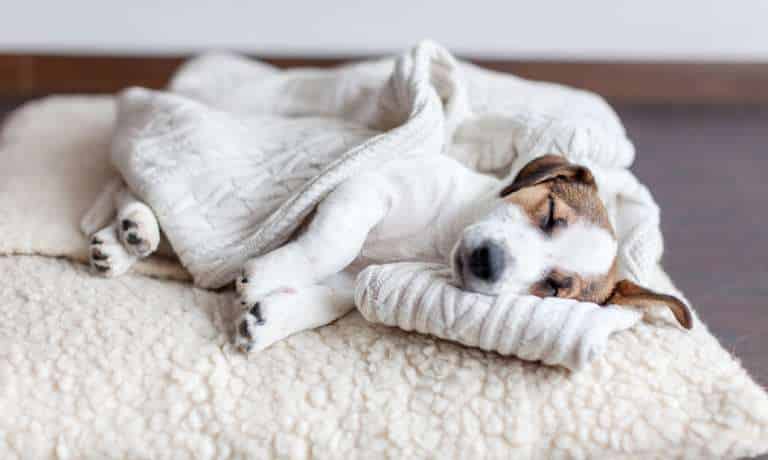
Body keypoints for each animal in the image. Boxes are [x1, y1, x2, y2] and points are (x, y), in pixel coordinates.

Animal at [88, 155, 688, 352]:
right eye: (549, 215)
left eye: (555, 287)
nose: (488, 263)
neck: (443, 235)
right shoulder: (363, 188)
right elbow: (331, 244)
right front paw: (268, 273)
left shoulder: (355, 272)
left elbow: (332, 297)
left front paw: (269, 317)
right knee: (125, 187)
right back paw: (134, 225)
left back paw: (123, 244)